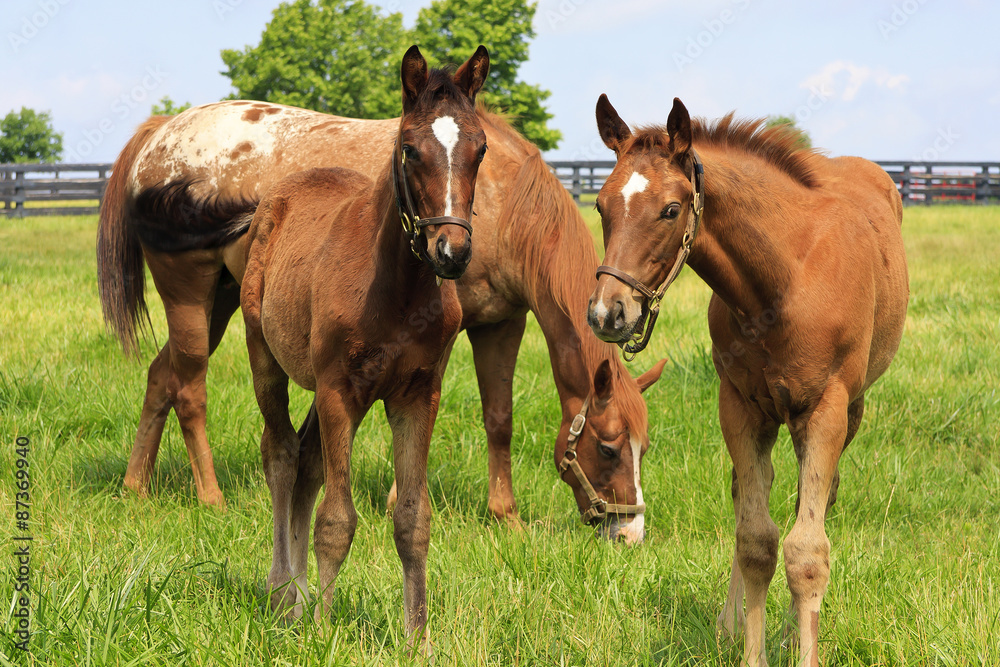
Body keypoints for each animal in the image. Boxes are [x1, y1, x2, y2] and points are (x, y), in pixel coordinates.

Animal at [97, 82, 660, 544]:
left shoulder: (502, 324)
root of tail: (157, 133)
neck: (503, 200)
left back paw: (134, 486)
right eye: (609, 447)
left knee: (161, 376)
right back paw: (211, 497)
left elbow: (498, 418)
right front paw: (397, 500)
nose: (629, 532)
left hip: (224, 298)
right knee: (189, 390)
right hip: (189, 295)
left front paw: (507, 517)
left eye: (645, 448)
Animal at [584, 95, 908, 667]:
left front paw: (800, 644)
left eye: (671, 210)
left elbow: (807, 548)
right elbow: (756, 538)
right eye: (601, 206)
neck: (784, 279)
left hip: (849, 410)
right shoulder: (739, 405)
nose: (608, 313)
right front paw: (746, 639)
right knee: (751, 500)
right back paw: (731, 623)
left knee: (817, 504)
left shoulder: (825, 409)